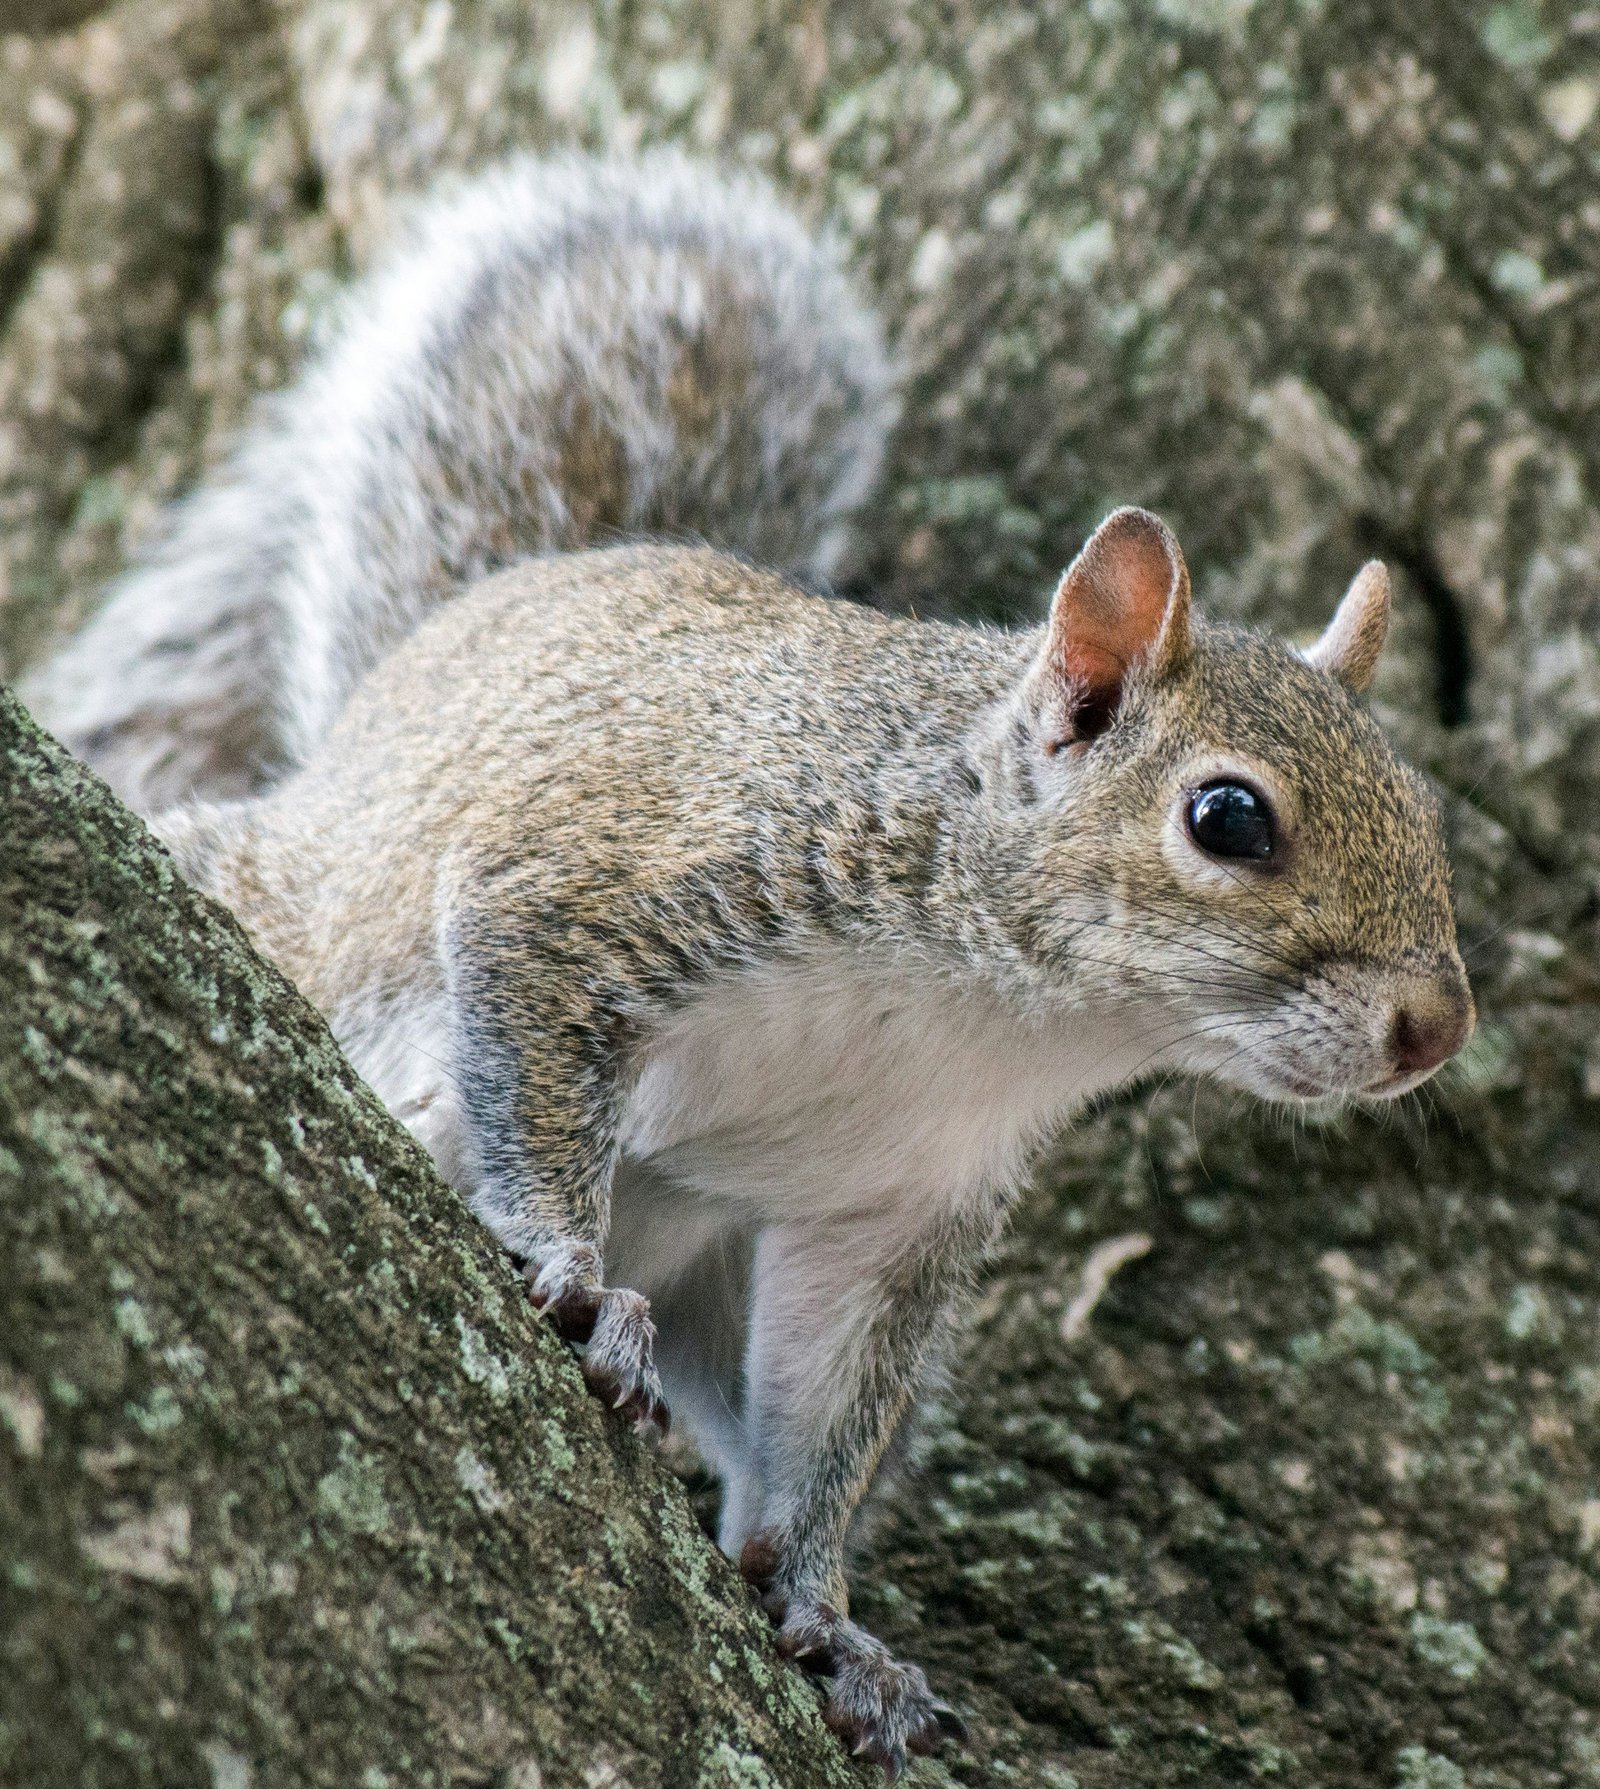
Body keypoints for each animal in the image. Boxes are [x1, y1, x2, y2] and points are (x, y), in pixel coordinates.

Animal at [26, 152, 1474, 1776]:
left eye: (1427, 809)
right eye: (1228, 819)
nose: (1437, 1026)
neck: (992, 1014)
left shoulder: (898, 1202)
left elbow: (827, 1414)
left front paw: (828, 1614)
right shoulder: (606, 886)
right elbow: (531, 1057)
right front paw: (568, 1273)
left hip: (713, 1245)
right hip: (309, 897)